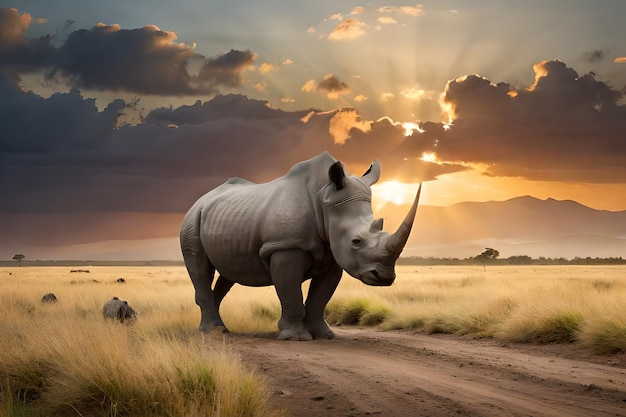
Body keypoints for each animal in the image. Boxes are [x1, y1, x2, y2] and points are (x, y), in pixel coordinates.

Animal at [179, 151, 420, 340]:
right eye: (356, 241)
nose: (385, 277)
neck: (324, 198)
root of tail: (200, 200)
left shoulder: (333, 253)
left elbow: (321, 296)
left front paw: (324, 335)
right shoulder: (285, 246)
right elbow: (290, 290)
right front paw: (295, 337)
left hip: (225, 219)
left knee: (229, 273)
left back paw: (217, 327)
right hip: (191, 222)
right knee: (199, 266)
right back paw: (213, 331)